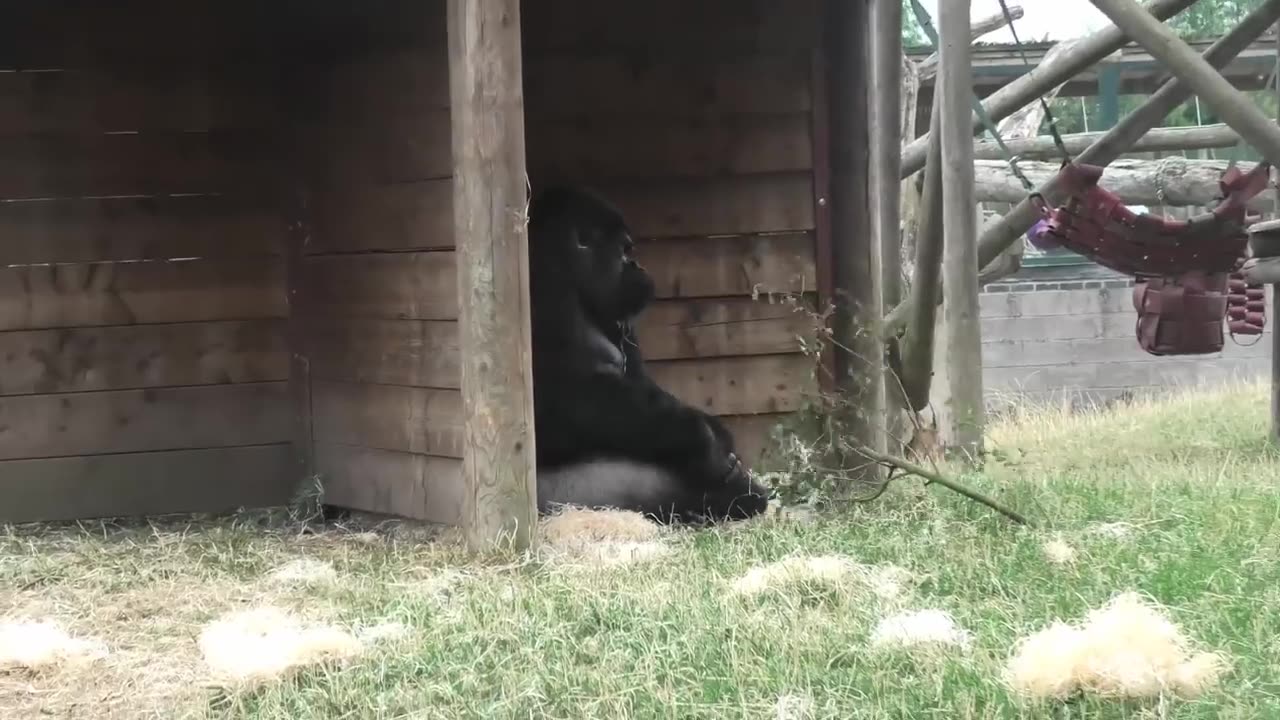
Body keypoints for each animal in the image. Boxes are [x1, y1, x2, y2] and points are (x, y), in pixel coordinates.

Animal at [527, 183, 773, 520]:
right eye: (624, 250)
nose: (637, 266)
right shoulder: (543, 290)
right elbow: (571, 397)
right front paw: (702, 438)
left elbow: (641, 384)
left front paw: (717, 433)